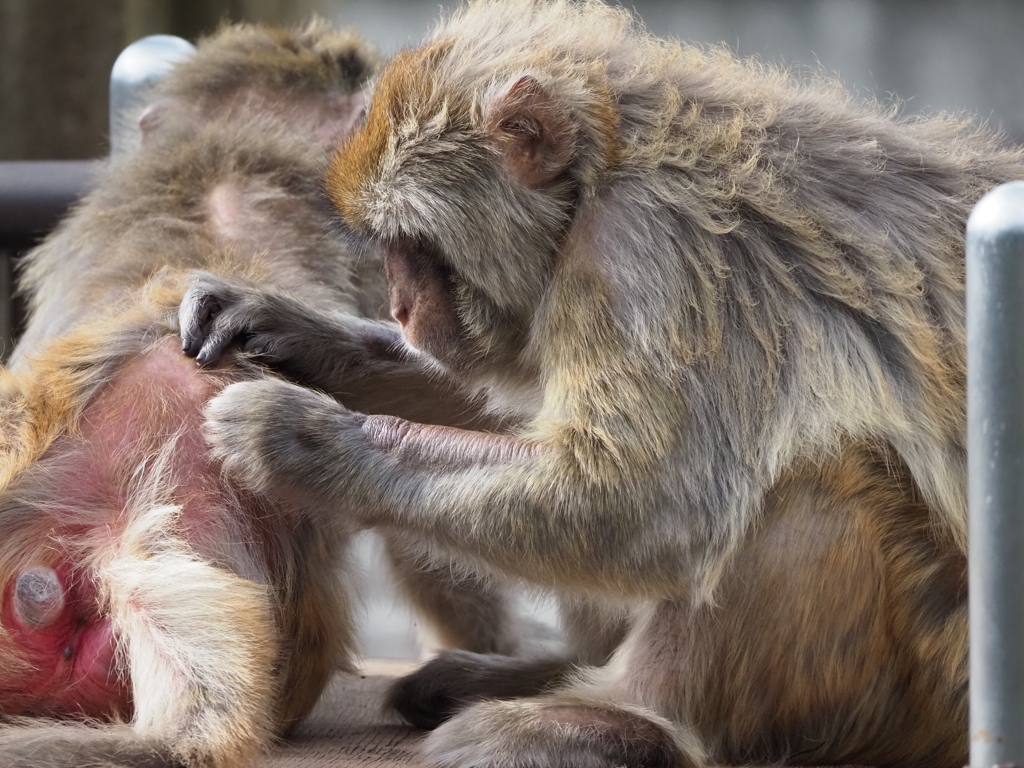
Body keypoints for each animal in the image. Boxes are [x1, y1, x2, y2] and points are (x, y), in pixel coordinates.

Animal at [178, 1, 1024, 768]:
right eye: (386, 247)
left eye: (411, 243)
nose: (401, 307)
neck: (601, 176)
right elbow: (512, 408)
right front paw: (281, 327)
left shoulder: (649, 251)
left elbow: (645, 502)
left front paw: (301, 440)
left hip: (916, 686)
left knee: (810, 477)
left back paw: (617, 721)